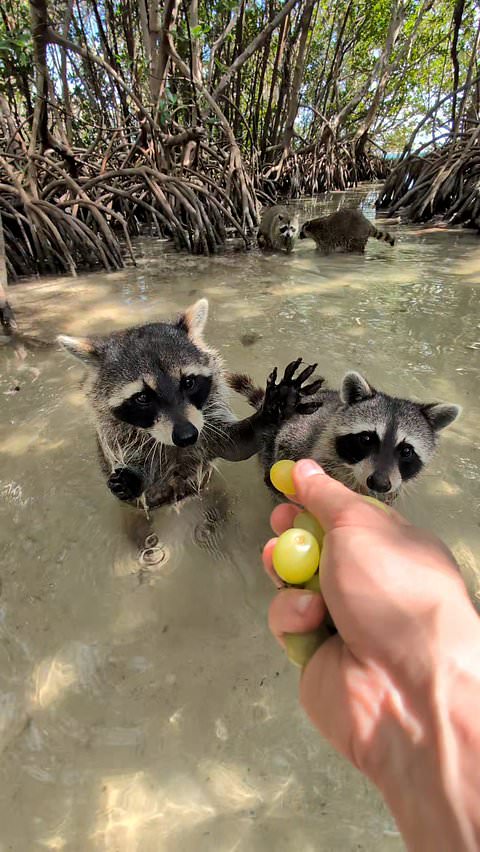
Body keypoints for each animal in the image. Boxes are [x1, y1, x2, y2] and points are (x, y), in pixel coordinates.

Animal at [57, 299, 320, 510]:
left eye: (188, 382)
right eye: (142, 397)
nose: (186, 436)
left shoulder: (208, 423)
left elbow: (235, 445)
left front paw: (274, 408)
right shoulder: (121, 439)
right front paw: (134, 477)